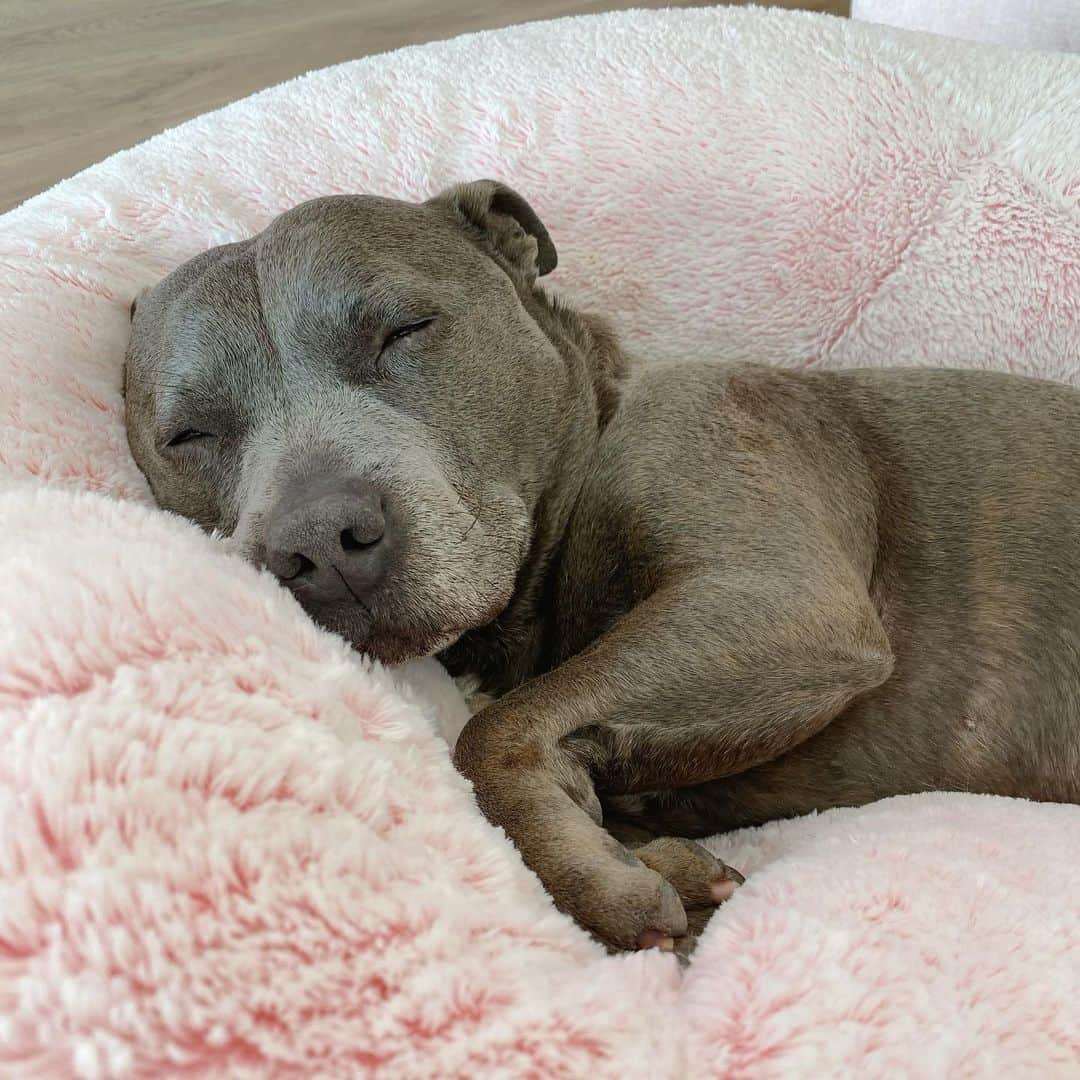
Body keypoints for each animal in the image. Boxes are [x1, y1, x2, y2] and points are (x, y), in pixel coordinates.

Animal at [122, 183, 1080, 954]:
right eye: (188, 435)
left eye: (405, 329)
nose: (320, 542)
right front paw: (633, 859)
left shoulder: (782, 602)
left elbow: (495, 730)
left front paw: (596, 884)